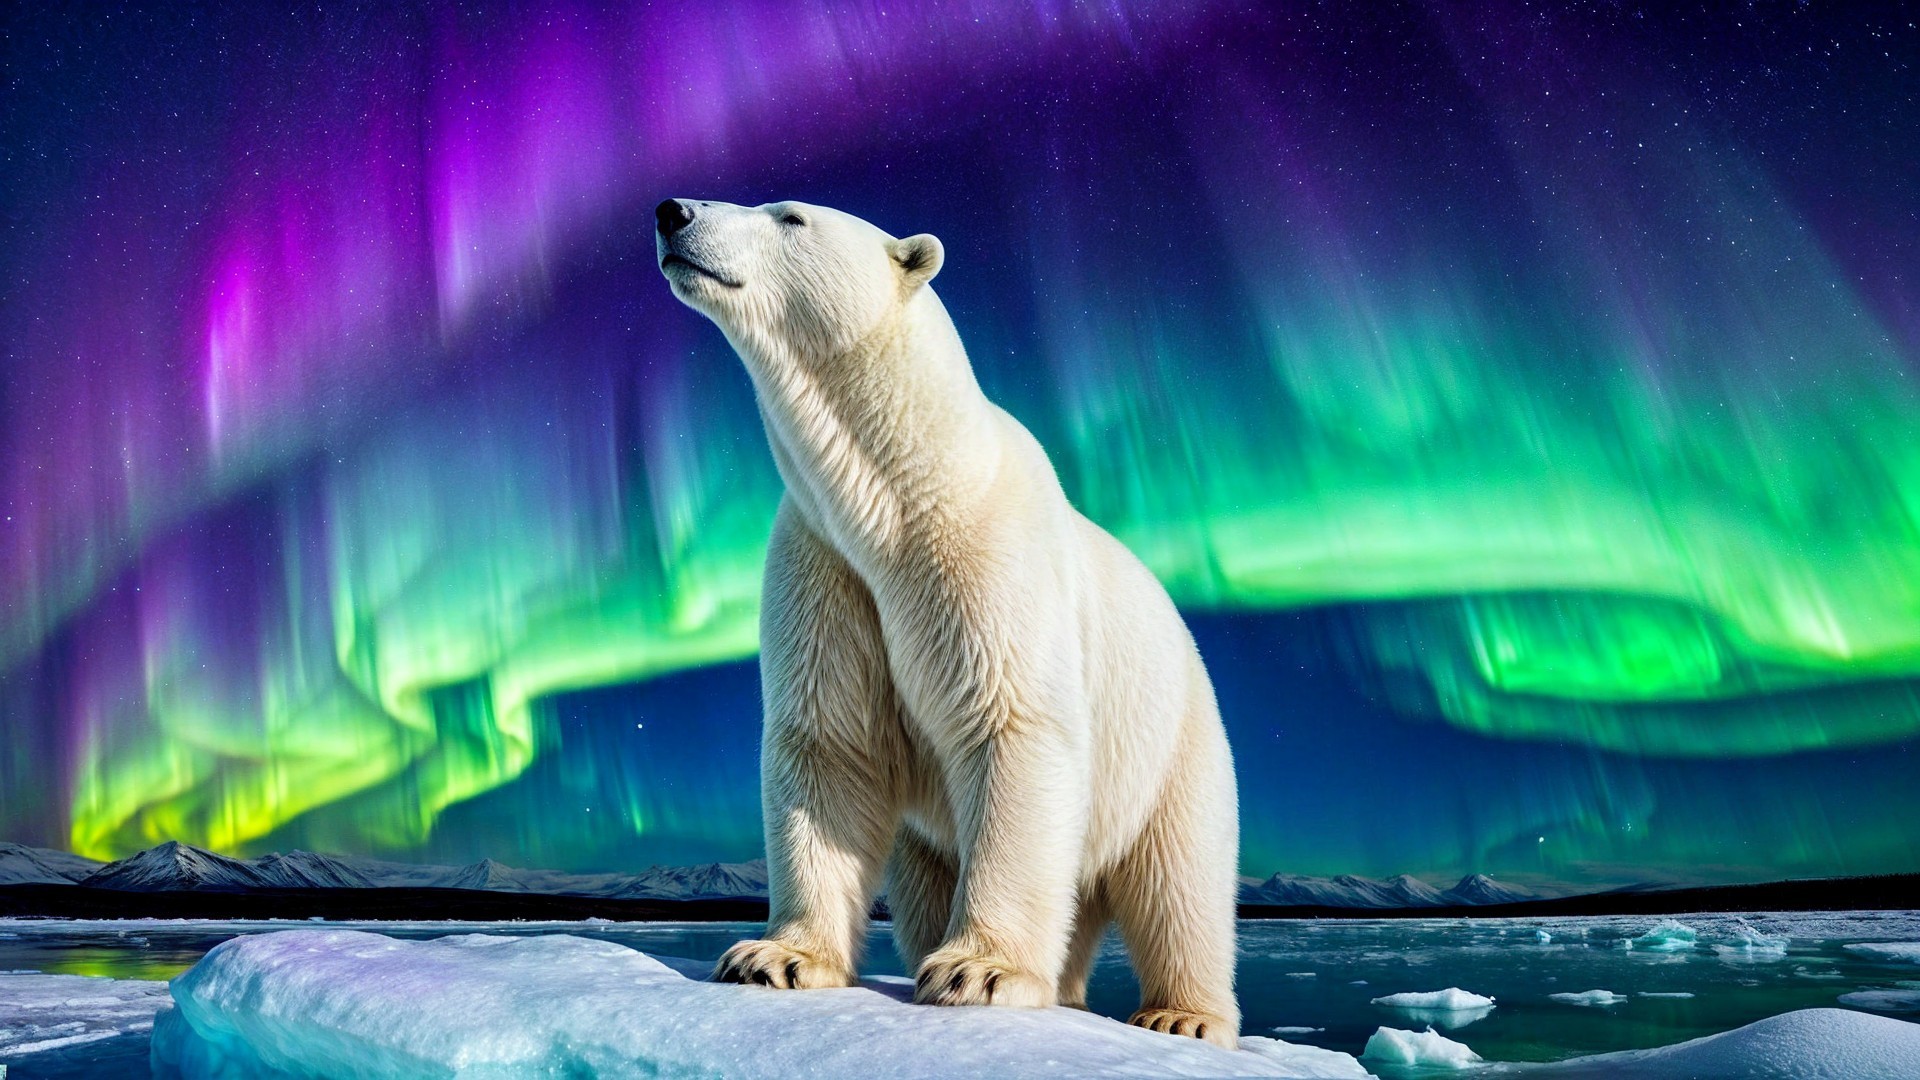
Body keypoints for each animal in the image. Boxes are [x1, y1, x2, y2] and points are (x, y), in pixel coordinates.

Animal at [656, 197, 1241, 1047]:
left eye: (790, 216)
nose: (673, 212)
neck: (899, 494)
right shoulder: (826, 566)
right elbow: (829, 742)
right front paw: (775, 957)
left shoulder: (984, 558)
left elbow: (1013, 726)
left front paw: (980, 971)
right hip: (931, 840)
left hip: (1169, 745)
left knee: (1180, 883)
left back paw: (1182, 1015)